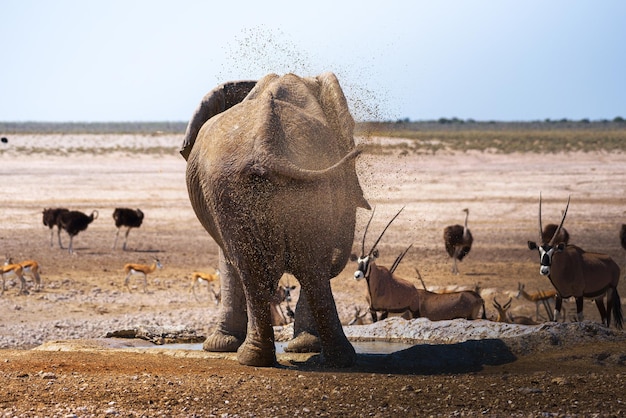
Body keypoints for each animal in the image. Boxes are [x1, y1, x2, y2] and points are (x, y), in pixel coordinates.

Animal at [524, 196, 620, 330]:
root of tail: (613, 263)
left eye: (553, 252)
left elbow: (580, 317)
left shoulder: (579, 295)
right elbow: (555, 317)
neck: (564, 267)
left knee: (608, 317)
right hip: (598, 297)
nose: (544, 270)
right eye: (539, 251)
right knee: (604, 317)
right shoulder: (558, 295)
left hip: (610, 291)